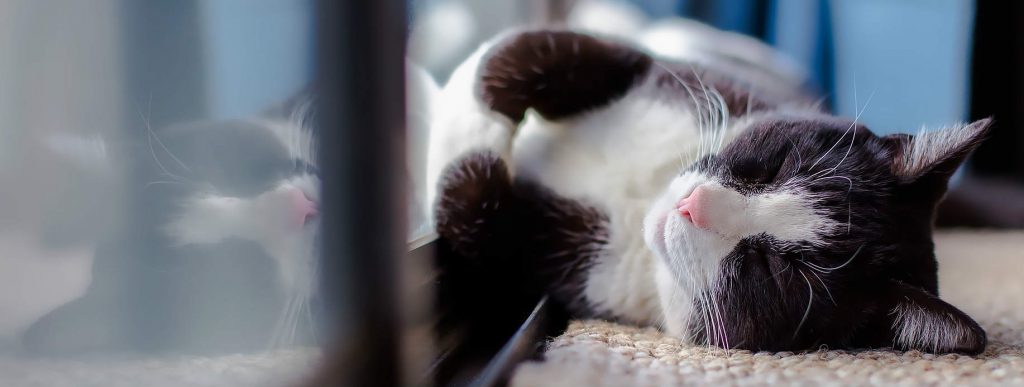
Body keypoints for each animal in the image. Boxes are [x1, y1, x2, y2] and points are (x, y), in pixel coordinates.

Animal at [428, 29, 987, 354]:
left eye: (773, 268)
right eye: (776, 167)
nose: (692, 205)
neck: (645, 194)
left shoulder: (562, 270)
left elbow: (473, 212)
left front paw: (455, 123)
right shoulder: (674, 75)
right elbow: (525, 52)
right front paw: (456, 89)